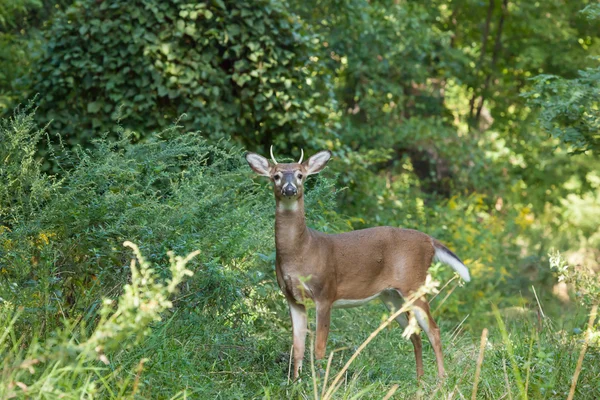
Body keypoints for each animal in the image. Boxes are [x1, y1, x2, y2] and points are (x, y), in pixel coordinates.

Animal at [246, 148, 472, 382]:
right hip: (391, 296)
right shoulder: (293, 299)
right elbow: (297, 347)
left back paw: (441, 381)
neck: (301, 252)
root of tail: (430, 241)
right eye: (276, 176)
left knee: (433, 330)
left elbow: (319, 349)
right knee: (415, 332)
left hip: (414, 285)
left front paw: (317, 383)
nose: (289, 189)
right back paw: (419, 381)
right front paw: (295, 383)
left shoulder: (325, 293)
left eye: (300, 175)